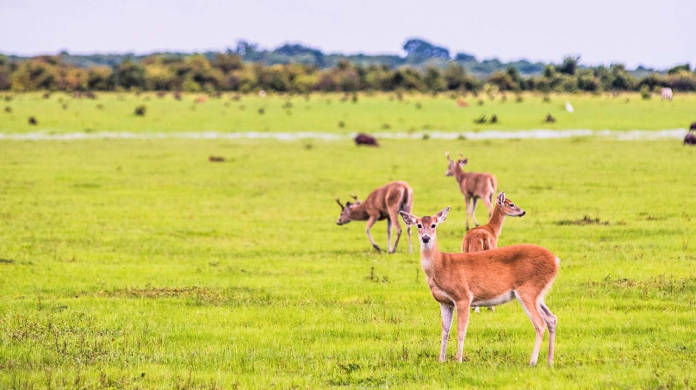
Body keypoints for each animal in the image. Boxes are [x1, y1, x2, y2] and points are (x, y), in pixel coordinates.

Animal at [400, 207, 556, 366]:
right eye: (418, 225)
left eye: (434, 225)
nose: (426, 238)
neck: (441, 265)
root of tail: (555, 261)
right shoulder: (444, 302)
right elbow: (445, 331)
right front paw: (441, 360)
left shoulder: (463, 296)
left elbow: (461, 330)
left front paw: (458, 360)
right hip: (538, 294)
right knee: (551, 318)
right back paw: (549, 361)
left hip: (527, 290)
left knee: (540, 323)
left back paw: (533, 362)